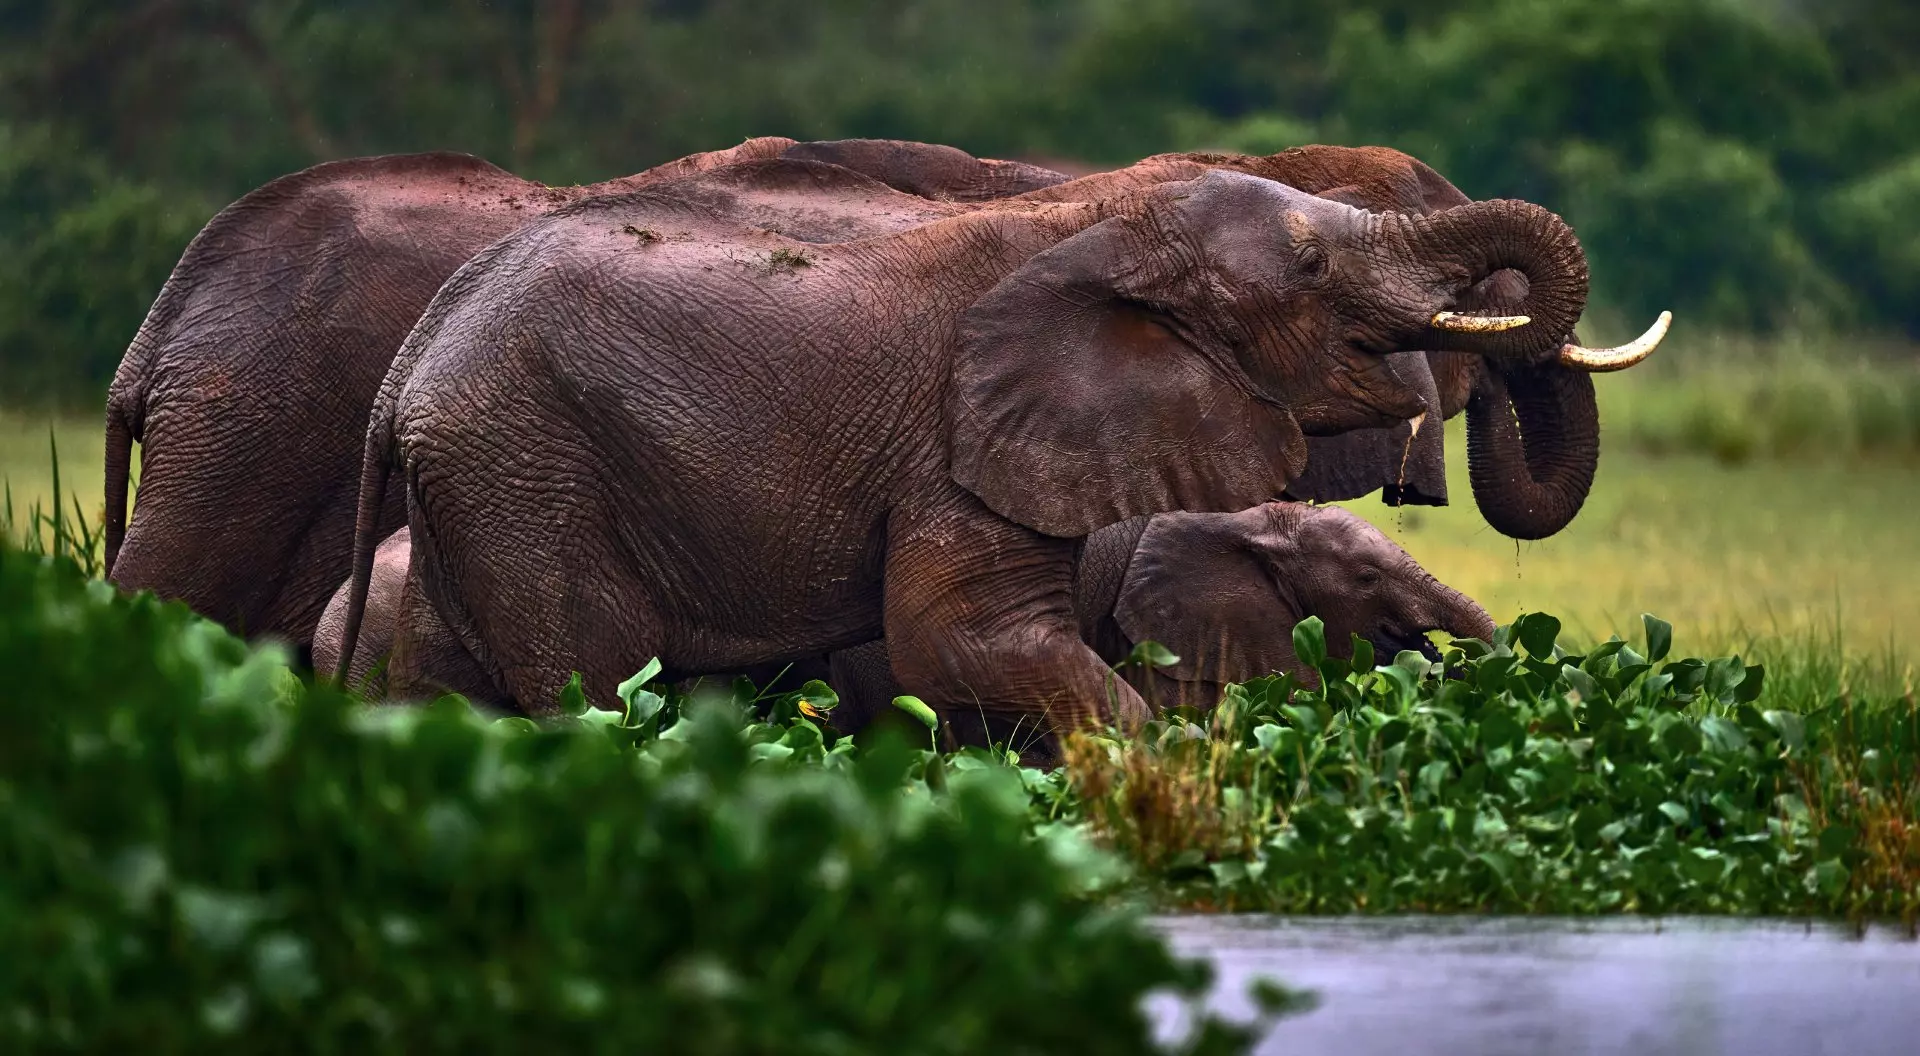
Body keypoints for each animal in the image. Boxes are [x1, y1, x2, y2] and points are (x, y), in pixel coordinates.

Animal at [334, 169, 1594, 751]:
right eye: (1314, 269)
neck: (1105, 225)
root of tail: (409, 364)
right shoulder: (959, 441)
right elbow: (964, 644)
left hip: (477, 490)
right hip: (527, 474)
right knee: (591, 695)